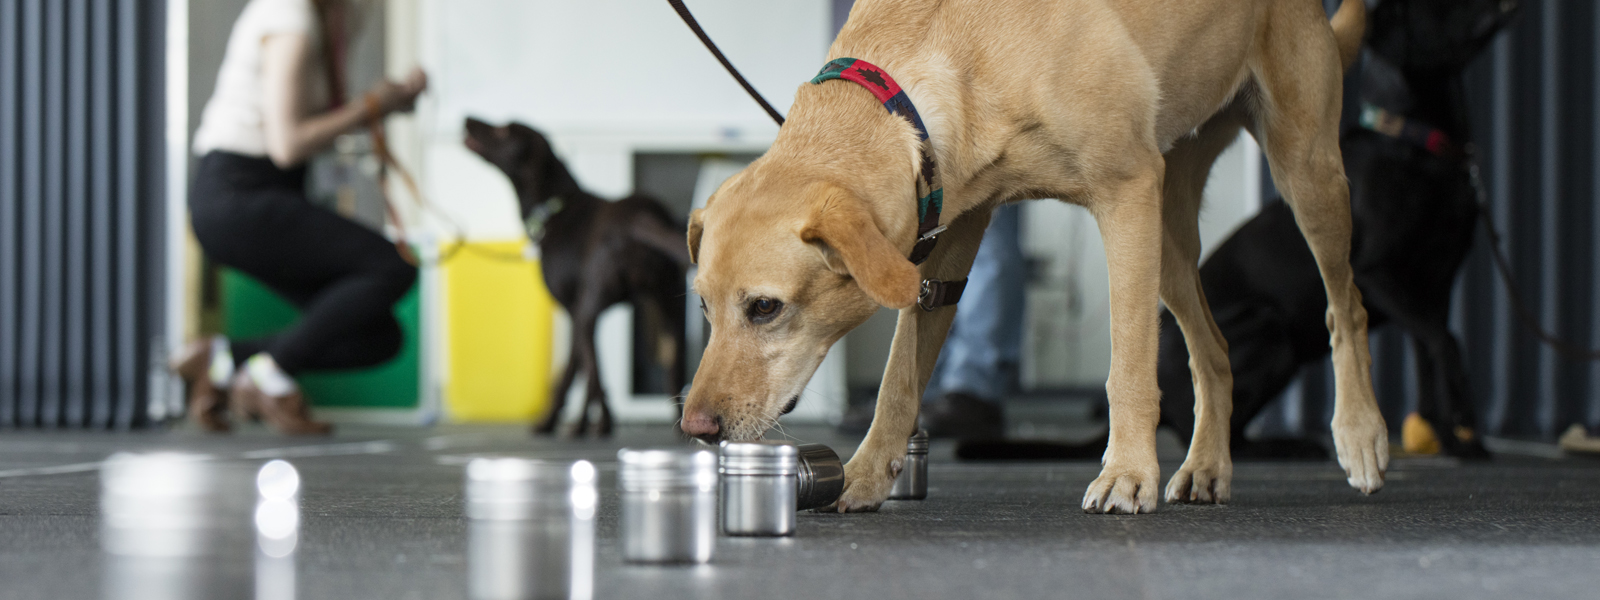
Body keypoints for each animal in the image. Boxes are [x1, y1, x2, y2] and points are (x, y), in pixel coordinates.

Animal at [464, 117, 688, 438]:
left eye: (504, 130)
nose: (467, 118)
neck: (554, 206)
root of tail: (641, 215)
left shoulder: (575, 310)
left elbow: (573, 372)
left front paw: (551, 423)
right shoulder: (578, 311)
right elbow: (578, 368)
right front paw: (579, 423)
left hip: (591, 309)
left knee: (597, 375)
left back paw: (604, 424)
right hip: (672, 312)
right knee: (674, 373)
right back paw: (680, 427)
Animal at [681, 1, 1382, 518]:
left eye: (765, 307)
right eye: (704, 308)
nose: (695, 426)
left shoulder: (1125, 192)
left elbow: (1129, 364)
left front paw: (1128, 472)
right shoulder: (949, 236)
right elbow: (898, 381)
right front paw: (865, 474)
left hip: (1304, 171)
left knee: (1346, 305)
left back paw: (1359, 432)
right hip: (1171, 238)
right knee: (1214, 350)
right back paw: (1209, 464)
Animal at [1158, 0, 1516, 460]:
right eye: (1432, 5)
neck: (1415, 145)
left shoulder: (1436, 287)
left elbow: (1430, 361)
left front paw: (1452, 441)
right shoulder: (1376, 273)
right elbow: (1447, 344)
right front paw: (1465, 427)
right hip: (1270, 327)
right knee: (1223, 429)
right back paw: (1288, 446)